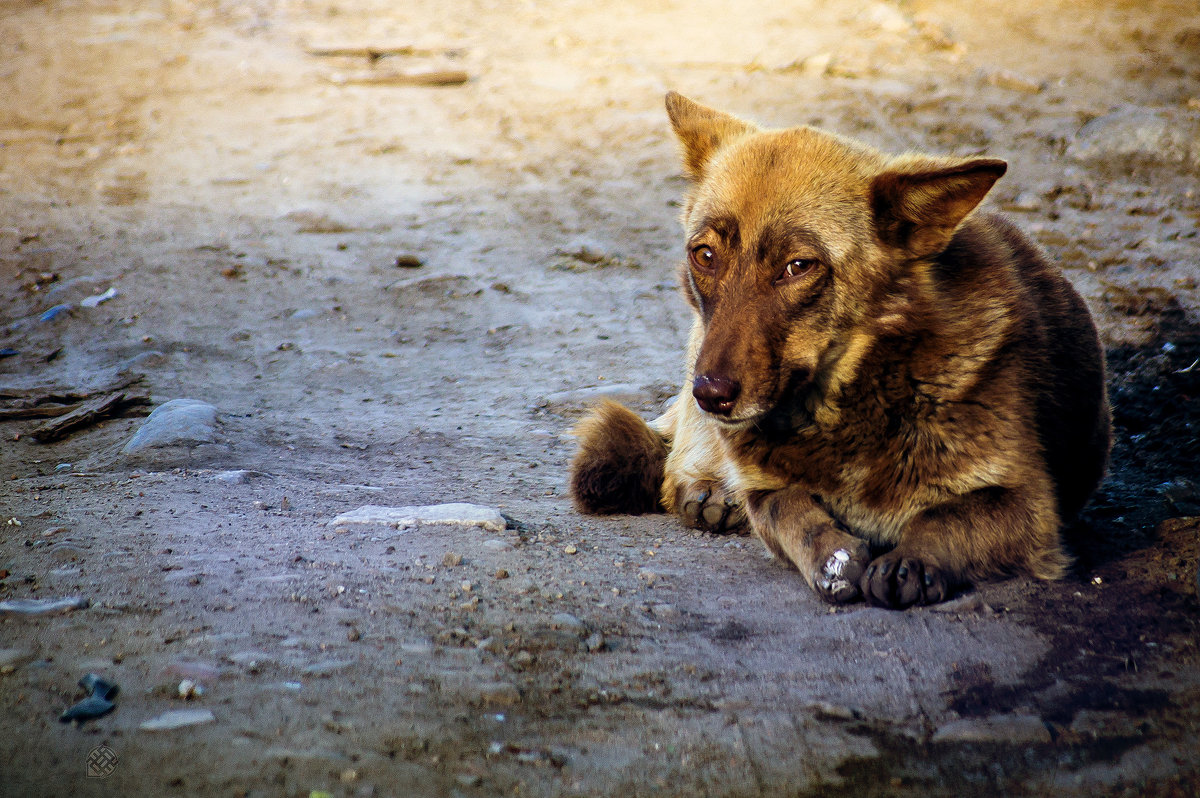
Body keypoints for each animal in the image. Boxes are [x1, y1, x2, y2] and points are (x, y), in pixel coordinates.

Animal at [571, 90, 1113, 607]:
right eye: (704, 255)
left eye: (798, 266)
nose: (712, 395)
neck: (849, 403)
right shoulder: (765, 490)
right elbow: (788, 508)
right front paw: (833, 555)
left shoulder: (1028, 506)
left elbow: (943, 519)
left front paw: (911, 560)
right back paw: (707, 489)